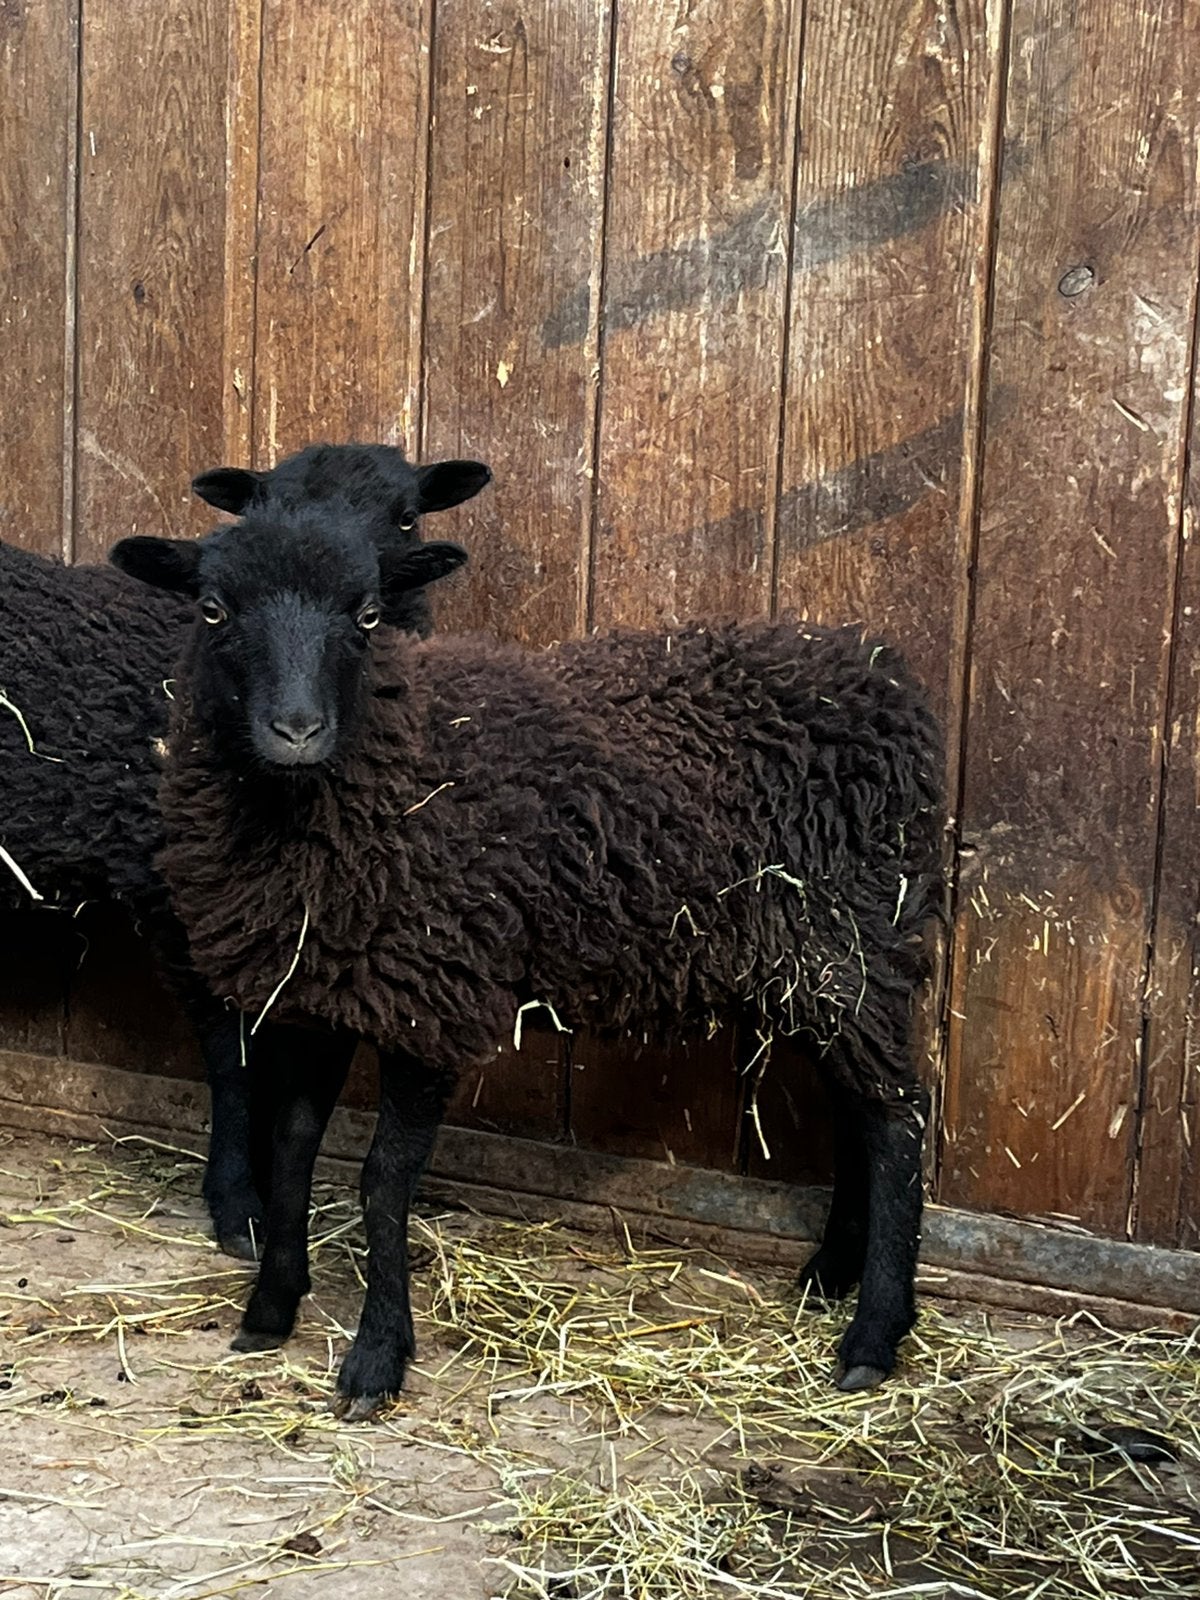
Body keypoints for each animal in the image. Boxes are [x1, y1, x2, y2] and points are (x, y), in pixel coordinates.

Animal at [0, 443, 489, 1256]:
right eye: (214, 606)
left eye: (406, 516)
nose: (296, 727)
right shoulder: (177, 900)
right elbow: (231, 1056)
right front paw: (239, 1205)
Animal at [111, 508, 945, 1420]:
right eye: (213, 609)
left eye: (367, 614)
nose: (297, 731)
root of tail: (879, 673)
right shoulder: (320, 990)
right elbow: (293, 1147)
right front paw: (271, 1305)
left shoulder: (432, 994)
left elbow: (382, 1180)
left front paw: (376, 1358)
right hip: (804, 962)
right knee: (858, 1110)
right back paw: (831, 1275)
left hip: (850, 937)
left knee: (898, 1120)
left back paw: (873, 1334)